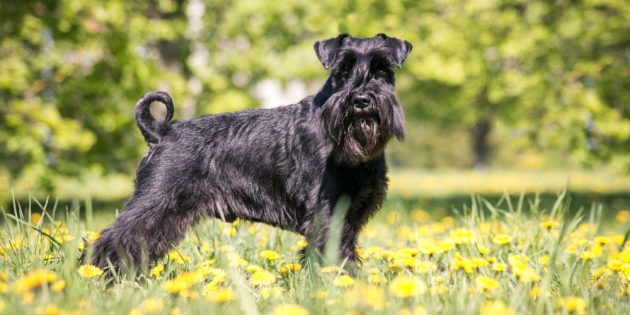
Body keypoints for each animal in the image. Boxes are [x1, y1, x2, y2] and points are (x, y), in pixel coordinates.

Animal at [91, 33, 412, 272]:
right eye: (342, 70)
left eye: (383, 70)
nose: (361, 100)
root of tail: (161, 131)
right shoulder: (327, 214)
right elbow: (335, 256)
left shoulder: (351, 215)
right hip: (157, 201)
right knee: (116, 237)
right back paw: (102, 275)